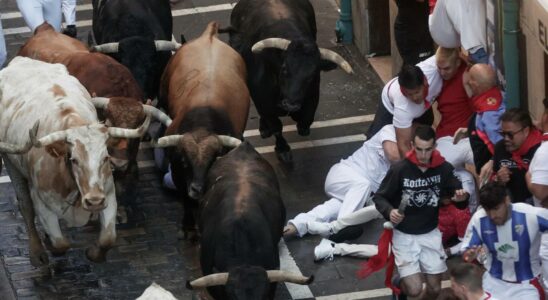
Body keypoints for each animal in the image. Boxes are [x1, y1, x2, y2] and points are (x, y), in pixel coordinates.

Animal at [0, 57, 150, 266]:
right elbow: (60, 242)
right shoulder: (42, 203)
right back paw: (37, 252)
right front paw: (51, 246)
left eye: (105, 158)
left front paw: (94, 254)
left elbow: (108, 238)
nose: (94, 201)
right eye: (74, 160)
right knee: (25, 206)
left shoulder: (108, 193)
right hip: (10, 161)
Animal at [154, 22, 248, 236]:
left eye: (212, 161)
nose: (197, 188)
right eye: (184, 161)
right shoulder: (178, 173)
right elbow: (186, 200)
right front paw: (188, 226)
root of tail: (209, 36)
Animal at [225, 0, 354, 162]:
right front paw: (282, 149)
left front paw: (302, 127)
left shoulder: (312, 97)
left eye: (312, 75)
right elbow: (276, 128)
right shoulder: (264, 103)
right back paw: (264, 128)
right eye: (285, 68)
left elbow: (305, 120)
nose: (291, 104)